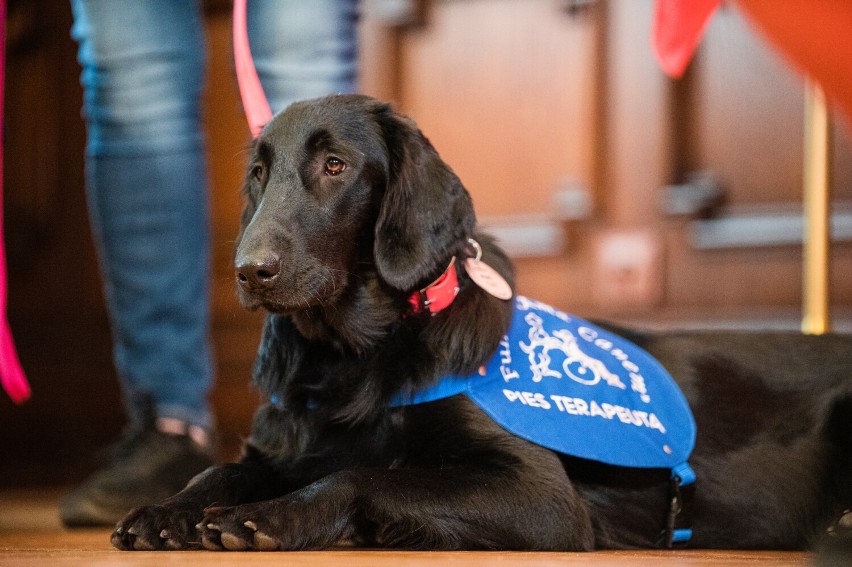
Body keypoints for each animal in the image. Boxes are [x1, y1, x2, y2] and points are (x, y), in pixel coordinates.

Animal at [110, 95, 852, 552]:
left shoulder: (541, 495)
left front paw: (267, 516)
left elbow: (364, 475)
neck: (359, 360)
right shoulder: (283, 447)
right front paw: (166, 510)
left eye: (335, 165)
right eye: (260, 173)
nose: (248, 270)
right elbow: (222, 471)